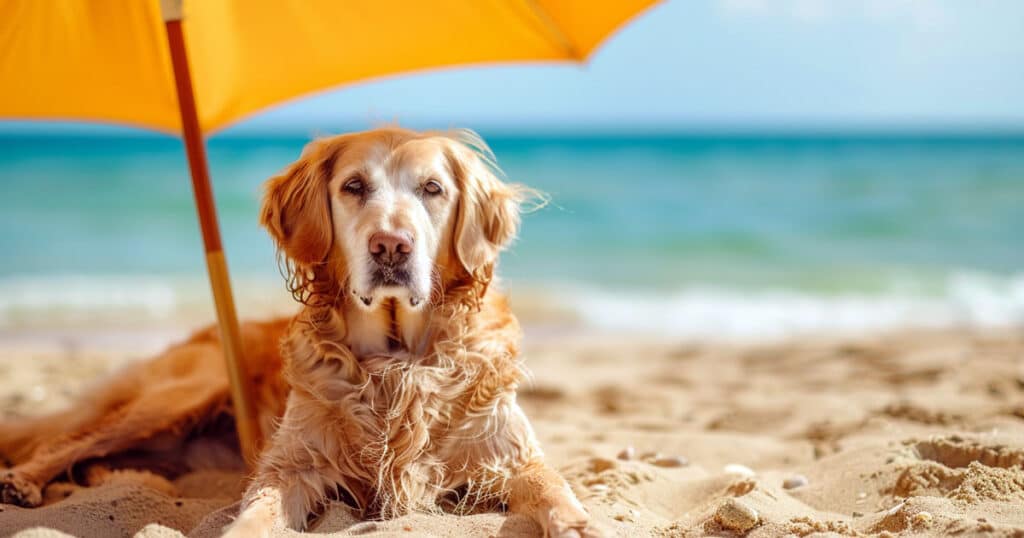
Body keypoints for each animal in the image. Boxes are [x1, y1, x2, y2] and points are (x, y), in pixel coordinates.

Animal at [0, 128, 598, 532]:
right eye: (354, 186)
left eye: (432, 189)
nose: (391, 246)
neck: (397, 360)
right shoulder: (292, 466)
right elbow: (255, 513)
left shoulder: (513, 457)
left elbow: (557, 492)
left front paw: (580, 524)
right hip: (186, 390)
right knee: (69, 438)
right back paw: (25, 479)